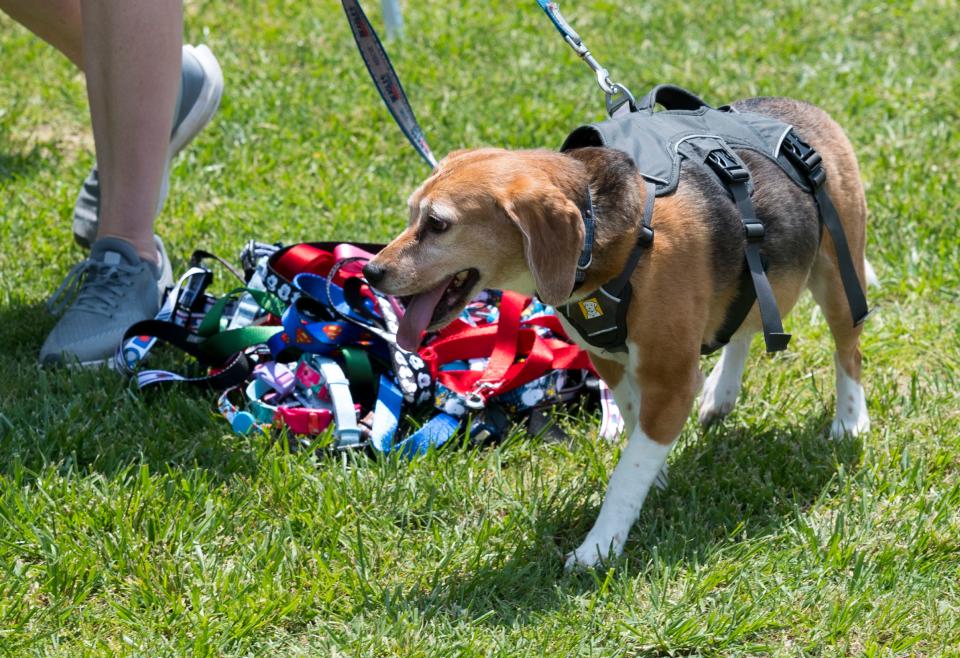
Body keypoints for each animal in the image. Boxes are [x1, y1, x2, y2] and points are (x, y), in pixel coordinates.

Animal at [362, 97, 872, 568]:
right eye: (412, 215)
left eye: (438, 224)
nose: (371, 272)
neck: (600, 235)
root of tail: (803, 109)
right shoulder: (608, 359)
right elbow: (634, 427)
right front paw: (655, 474)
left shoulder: (670, 380)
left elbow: (625, 477)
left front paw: (599, 547)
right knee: (746, 326)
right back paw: (721, 394)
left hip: (838, 276)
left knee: (848, 354)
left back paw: (849, 421)